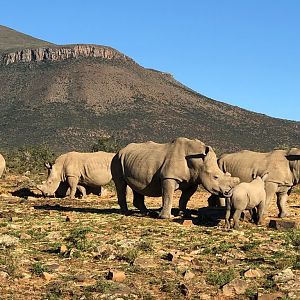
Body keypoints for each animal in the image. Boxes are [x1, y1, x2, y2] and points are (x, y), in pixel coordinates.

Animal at [111, 137, 240, 218]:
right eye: (215, 177)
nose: (228, 192)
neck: (198, 161)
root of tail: (121, 150)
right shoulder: (168, 177)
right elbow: (168, 196)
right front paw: (166, 217)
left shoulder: (193, 181)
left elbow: (184, 198)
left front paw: (185, 214)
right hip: (117, 159)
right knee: (120, 184)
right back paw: (126, 213)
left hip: (134, 160)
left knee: (137, 186)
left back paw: (146, 213)